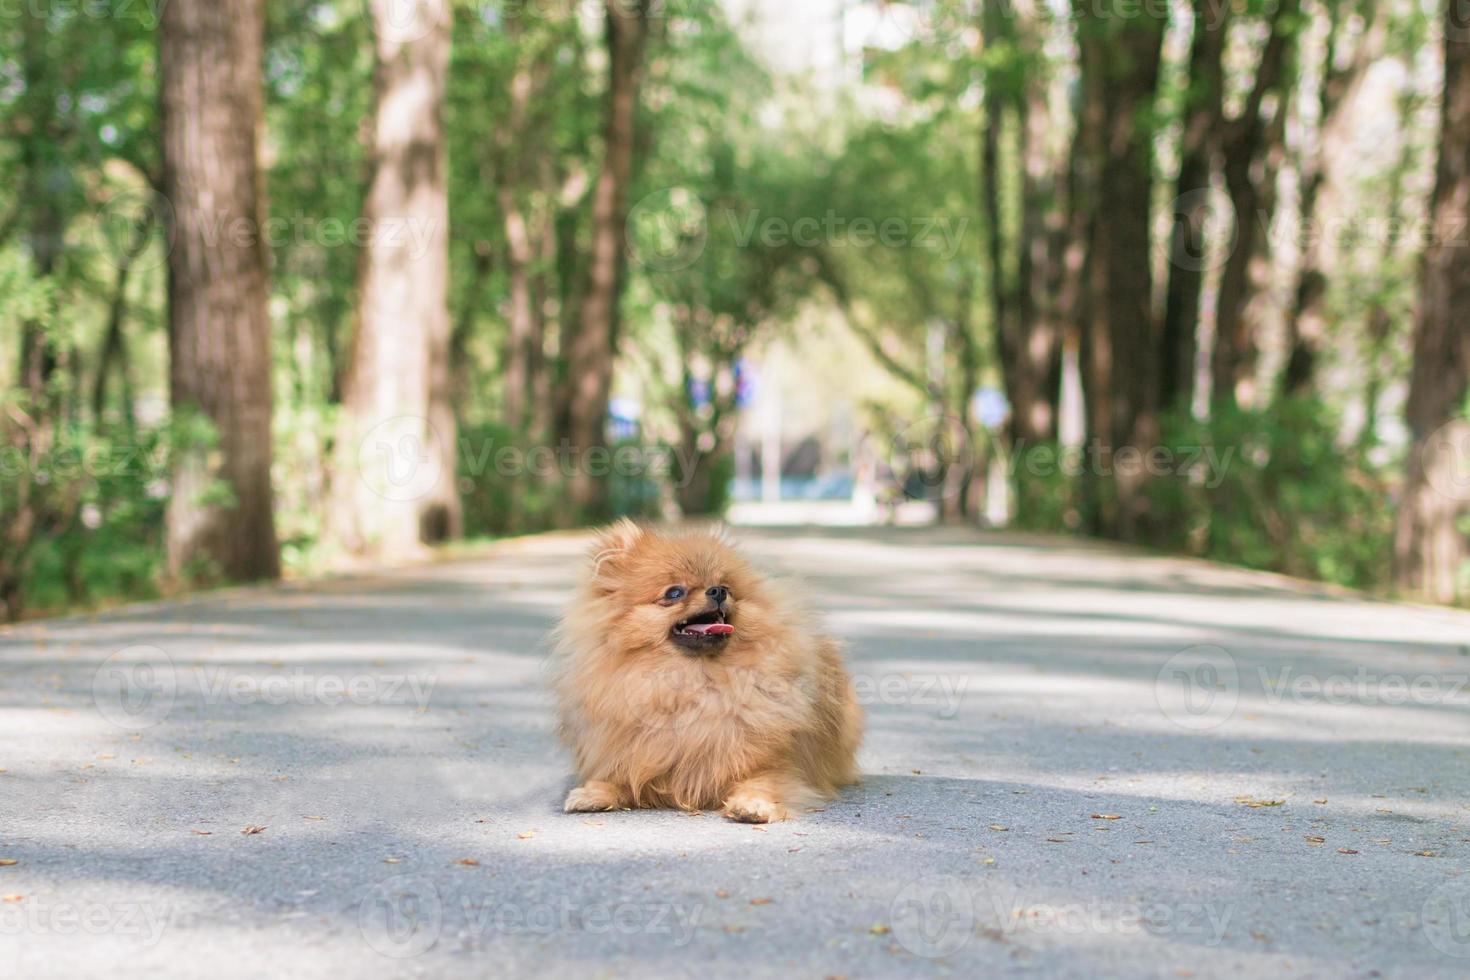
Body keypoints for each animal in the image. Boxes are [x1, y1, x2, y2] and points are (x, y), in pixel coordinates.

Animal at [555, 520, 864, 822]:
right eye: (674, 592)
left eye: (725, 586)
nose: (717, 591)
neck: (693, 682)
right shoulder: (634, 756)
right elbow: (616, 778)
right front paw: (591, 794)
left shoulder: (773, 765)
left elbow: (761, 783)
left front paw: (752, 805)